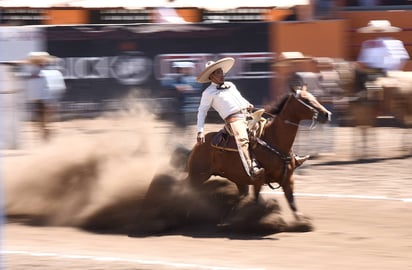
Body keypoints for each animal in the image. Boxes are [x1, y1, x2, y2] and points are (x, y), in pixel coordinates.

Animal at [186, 86, 332, 219]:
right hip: (197, 175)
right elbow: (256, 201)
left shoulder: (288, 179)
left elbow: (292, 204)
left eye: (314, 97)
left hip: (237, 179)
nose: (327, 114)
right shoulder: (258, 180)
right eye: (306, 100)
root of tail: (200, 142)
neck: (274, 139)